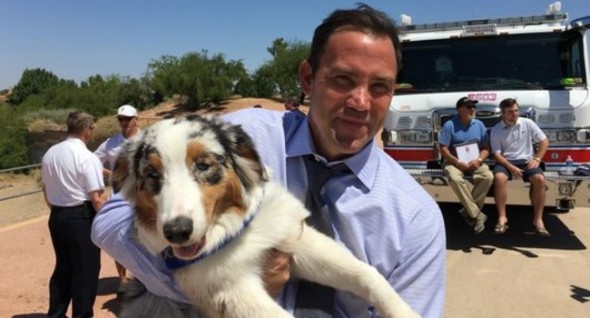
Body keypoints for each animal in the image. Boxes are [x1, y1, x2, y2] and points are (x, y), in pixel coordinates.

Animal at [110, 115, 416, 318]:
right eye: (152, 175)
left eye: (203, 165)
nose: (177, 231)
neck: (235, 233)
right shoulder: (232, 291)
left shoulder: (295, 240)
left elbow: (366, 274)